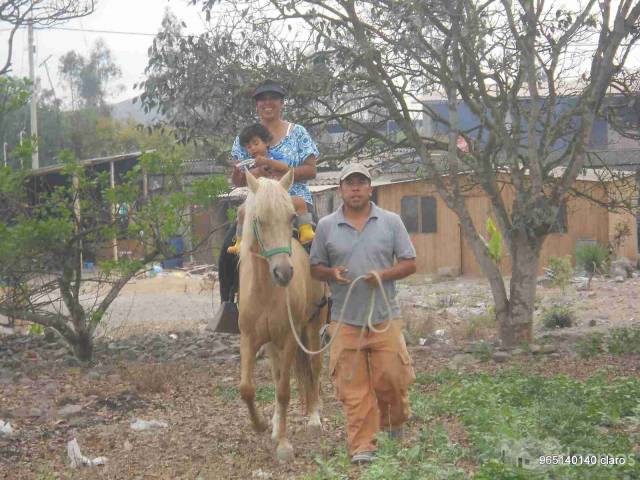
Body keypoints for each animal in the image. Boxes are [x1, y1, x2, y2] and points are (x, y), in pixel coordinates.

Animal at [240, 169, 330, 462]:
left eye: (291, 217)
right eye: (259, 219)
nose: (284, 272)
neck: (267, 292)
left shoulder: (290, 337)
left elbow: (283, 390)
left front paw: (283, 445)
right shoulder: (249, 339)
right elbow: (247, 388)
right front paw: (261, 425)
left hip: (312, 326)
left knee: (313, 368)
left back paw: (314, 417)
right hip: (271, 344)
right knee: (280, 371)